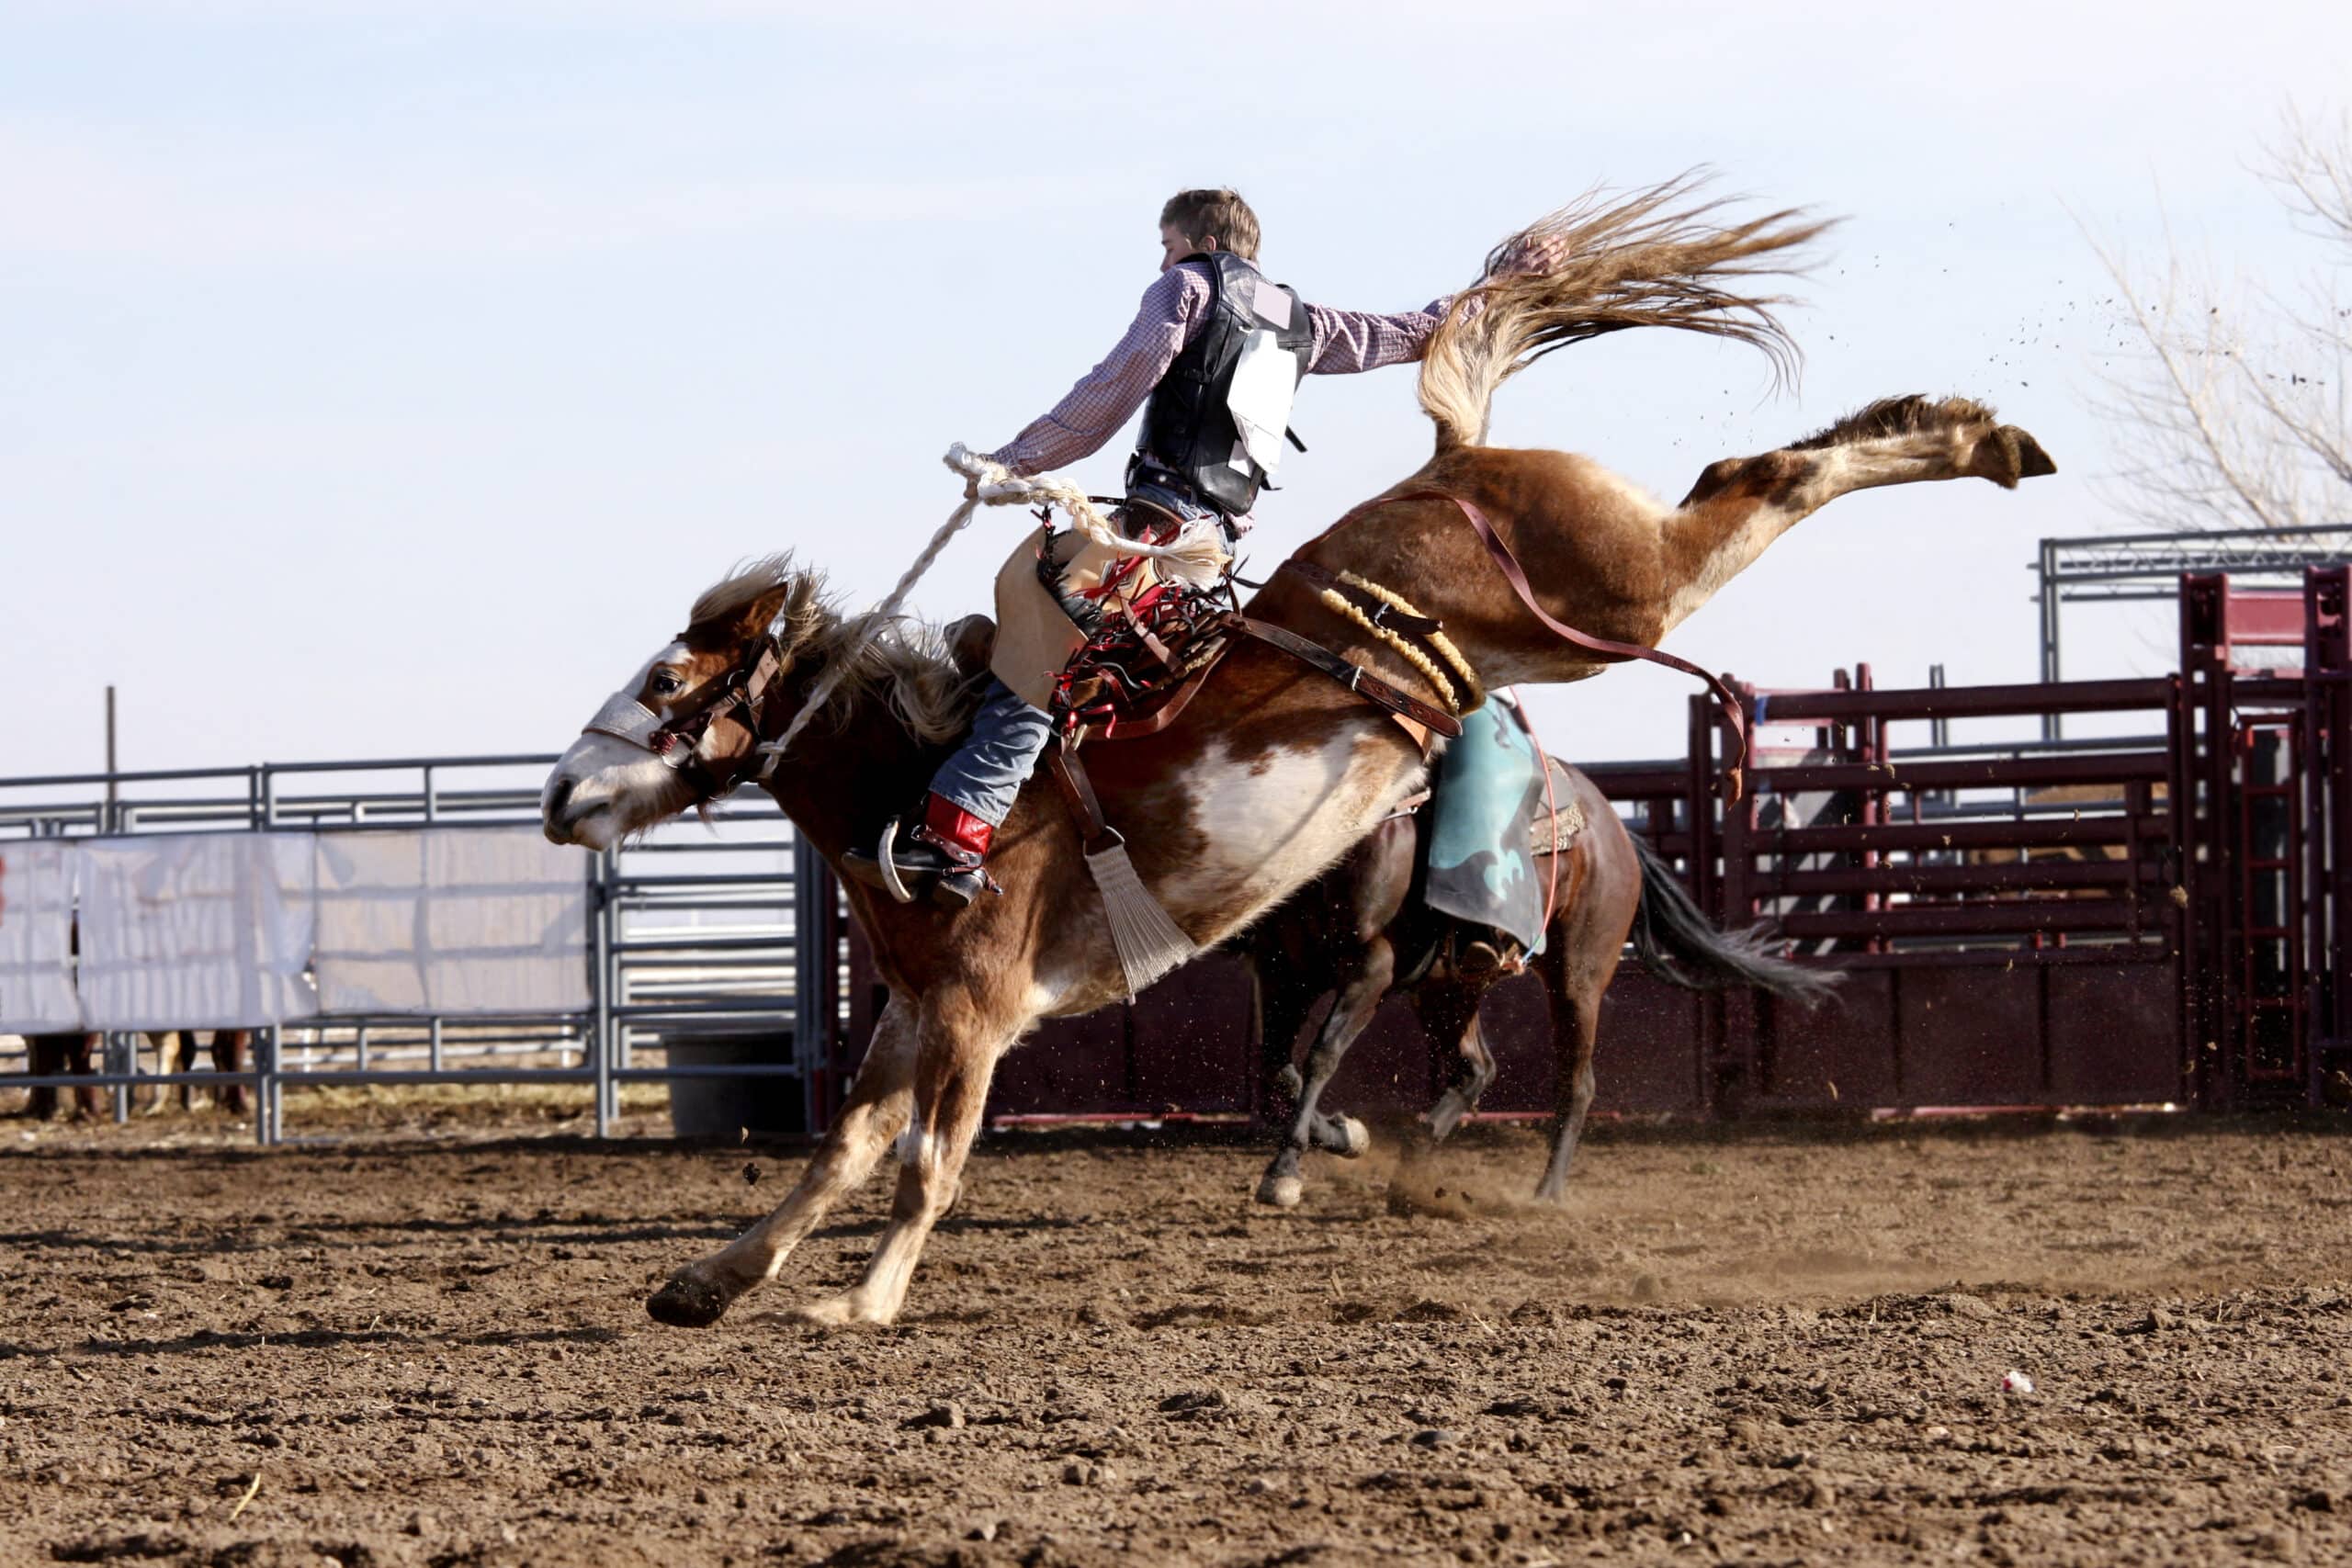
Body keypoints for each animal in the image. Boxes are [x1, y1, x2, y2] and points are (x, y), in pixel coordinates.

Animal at [1241, 751, 1825, 1213]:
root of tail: (1616, 833)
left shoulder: (1371, 965)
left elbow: (1321, 1056)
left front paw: (1284, 1173)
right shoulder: (1281, 971)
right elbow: (1277, 1065)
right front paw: (1347, 1135)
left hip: (1577, 978)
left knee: (1575, 1083)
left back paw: (1546, 1192)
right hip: (1447, 987)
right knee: (1477, 1068)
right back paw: (1414, 1162)